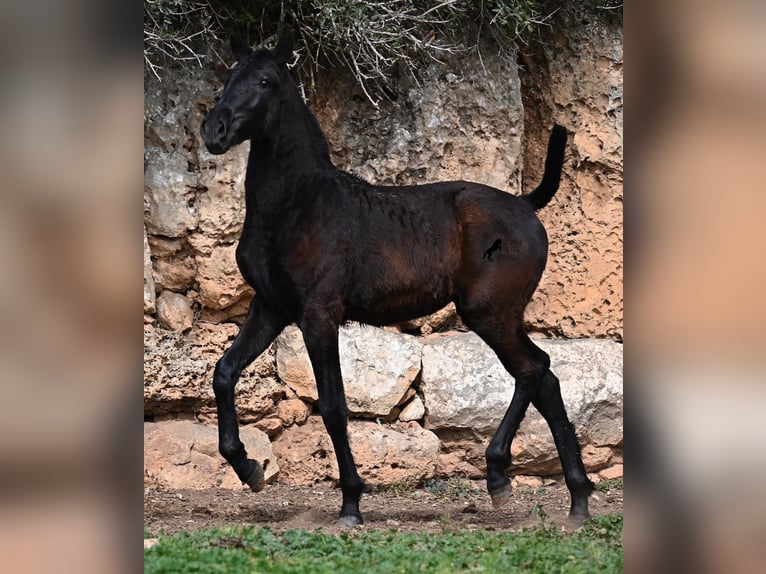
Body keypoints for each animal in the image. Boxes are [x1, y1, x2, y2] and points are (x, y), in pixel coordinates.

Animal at [202, 30, 592, 528]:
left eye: (266, 81)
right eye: (229, 76)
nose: (214, 131)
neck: (300, 206)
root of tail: (526, 204)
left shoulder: (319, 314)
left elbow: (333, 405)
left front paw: (351, 503)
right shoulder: (270, 307)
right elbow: (224, 372)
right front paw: (247, 466)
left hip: (490, 313)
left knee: (533, 370)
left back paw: (513, 481)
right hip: (498, 316)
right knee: (542, 377)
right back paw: (566, 497)